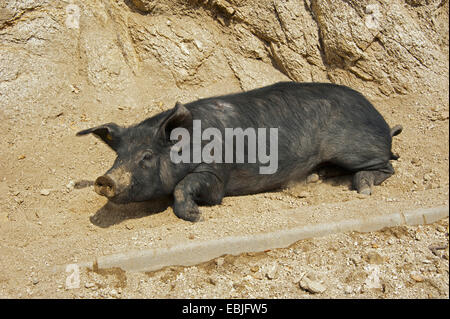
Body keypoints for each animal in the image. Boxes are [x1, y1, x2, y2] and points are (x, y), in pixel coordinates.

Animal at [76, 82, 400, 222]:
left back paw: (362, 188)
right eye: (118, 156)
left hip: (354, 148)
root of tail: (382, 120)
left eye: (146, 156)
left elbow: (187, 186)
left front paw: (195, 216)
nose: (104, 180)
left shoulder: (216, 174)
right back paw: (314, 177)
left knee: (388, 166)